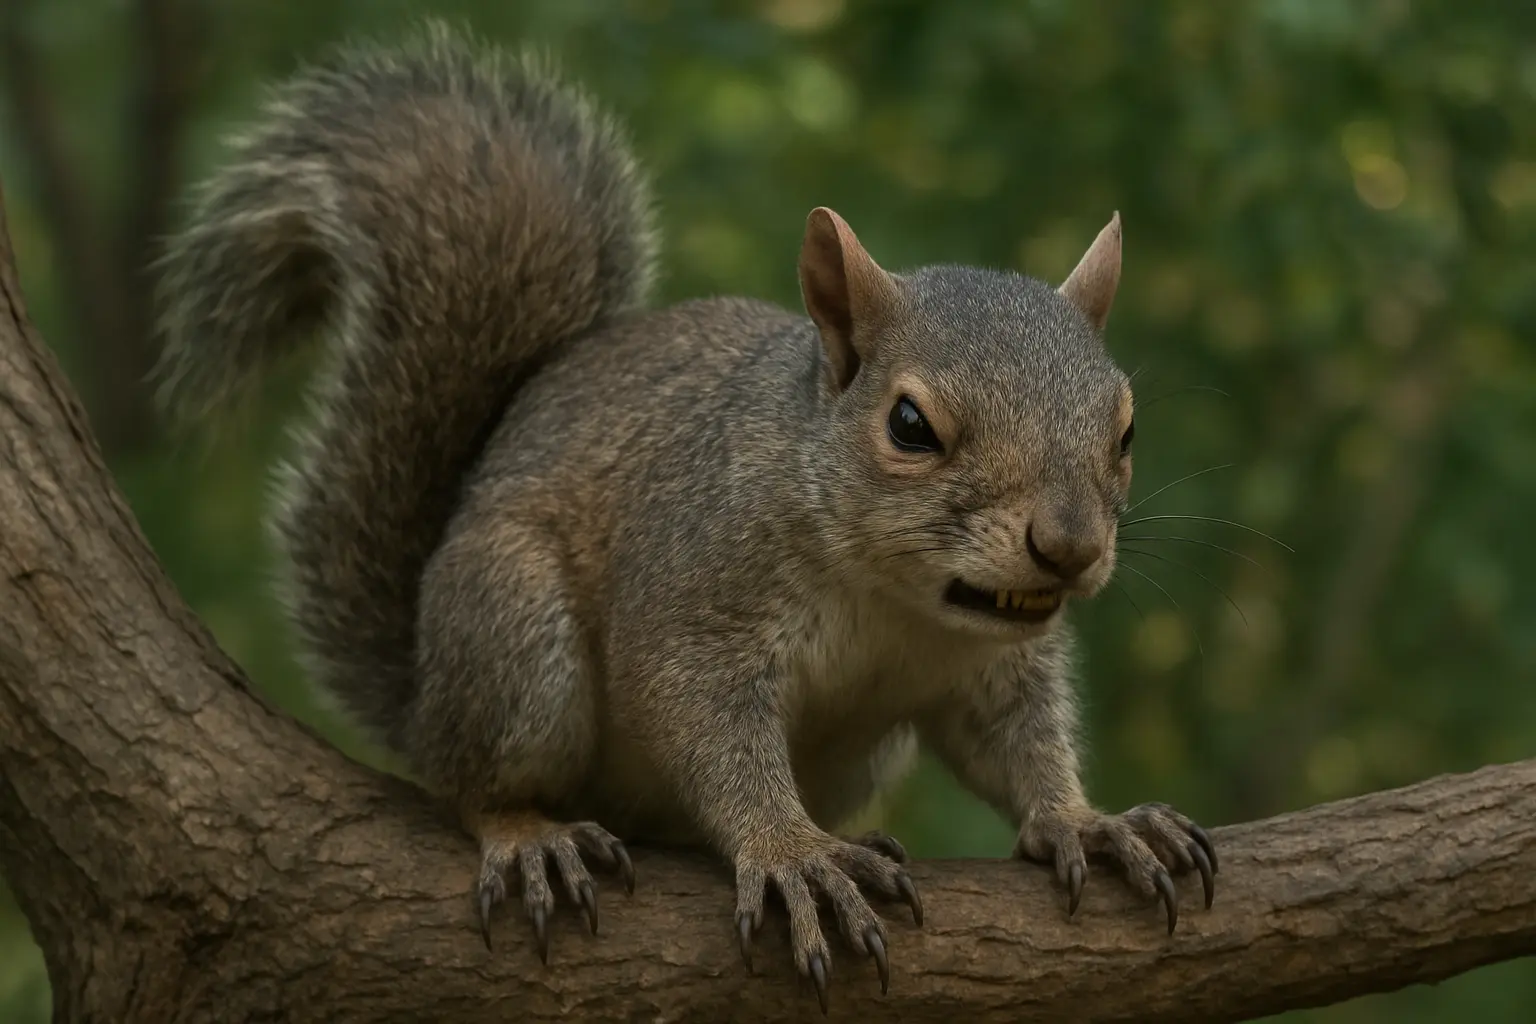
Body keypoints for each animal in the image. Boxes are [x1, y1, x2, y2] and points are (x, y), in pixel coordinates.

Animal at [154, 20, 1217, 1010]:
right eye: (910, 425)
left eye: (1126, 427)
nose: (1068, 547)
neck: (896, 601)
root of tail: (419, 692)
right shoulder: (695, 591)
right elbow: (702, 724)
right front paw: (791, 852)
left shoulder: (992, 669)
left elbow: (1016, 744)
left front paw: (1087, 821)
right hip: (513, 638)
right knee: (473, 782)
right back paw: (529, 834)